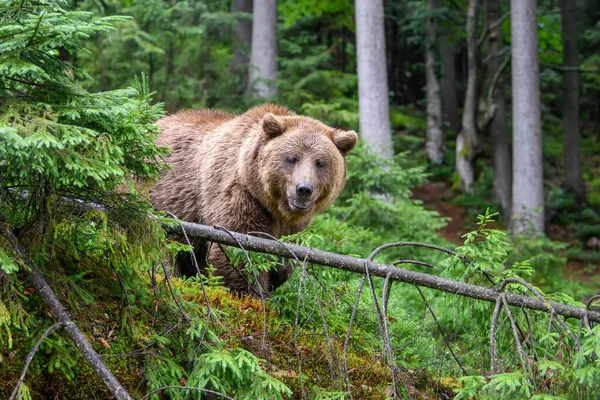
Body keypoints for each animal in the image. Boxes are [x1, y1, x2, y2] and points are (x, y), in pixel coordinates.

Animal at [149, 104, 356, 296]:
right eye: (292, 158)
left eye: (320, 163)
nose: (303, 189)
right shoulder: (239, 195)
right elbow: (240, 252)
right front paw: (255, 295)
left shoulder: (294, 225)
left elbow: (285, 260)